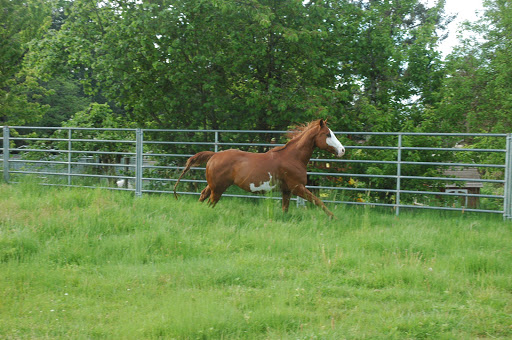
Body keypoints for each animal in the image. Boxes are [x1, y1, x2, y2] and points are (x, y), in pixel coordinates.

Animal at [174, 119, 346, 218]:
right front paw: (333, 217)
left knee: (203, 195)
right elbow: (319, 201)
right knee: (210, 201)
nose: (342, 150)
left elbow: (285, 209)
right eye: (328, 134)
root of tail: (214, 155)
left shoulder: (286, 191)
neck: (293, 157)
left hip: (213, 185)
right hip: (218, 188)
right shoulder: (298, 188)